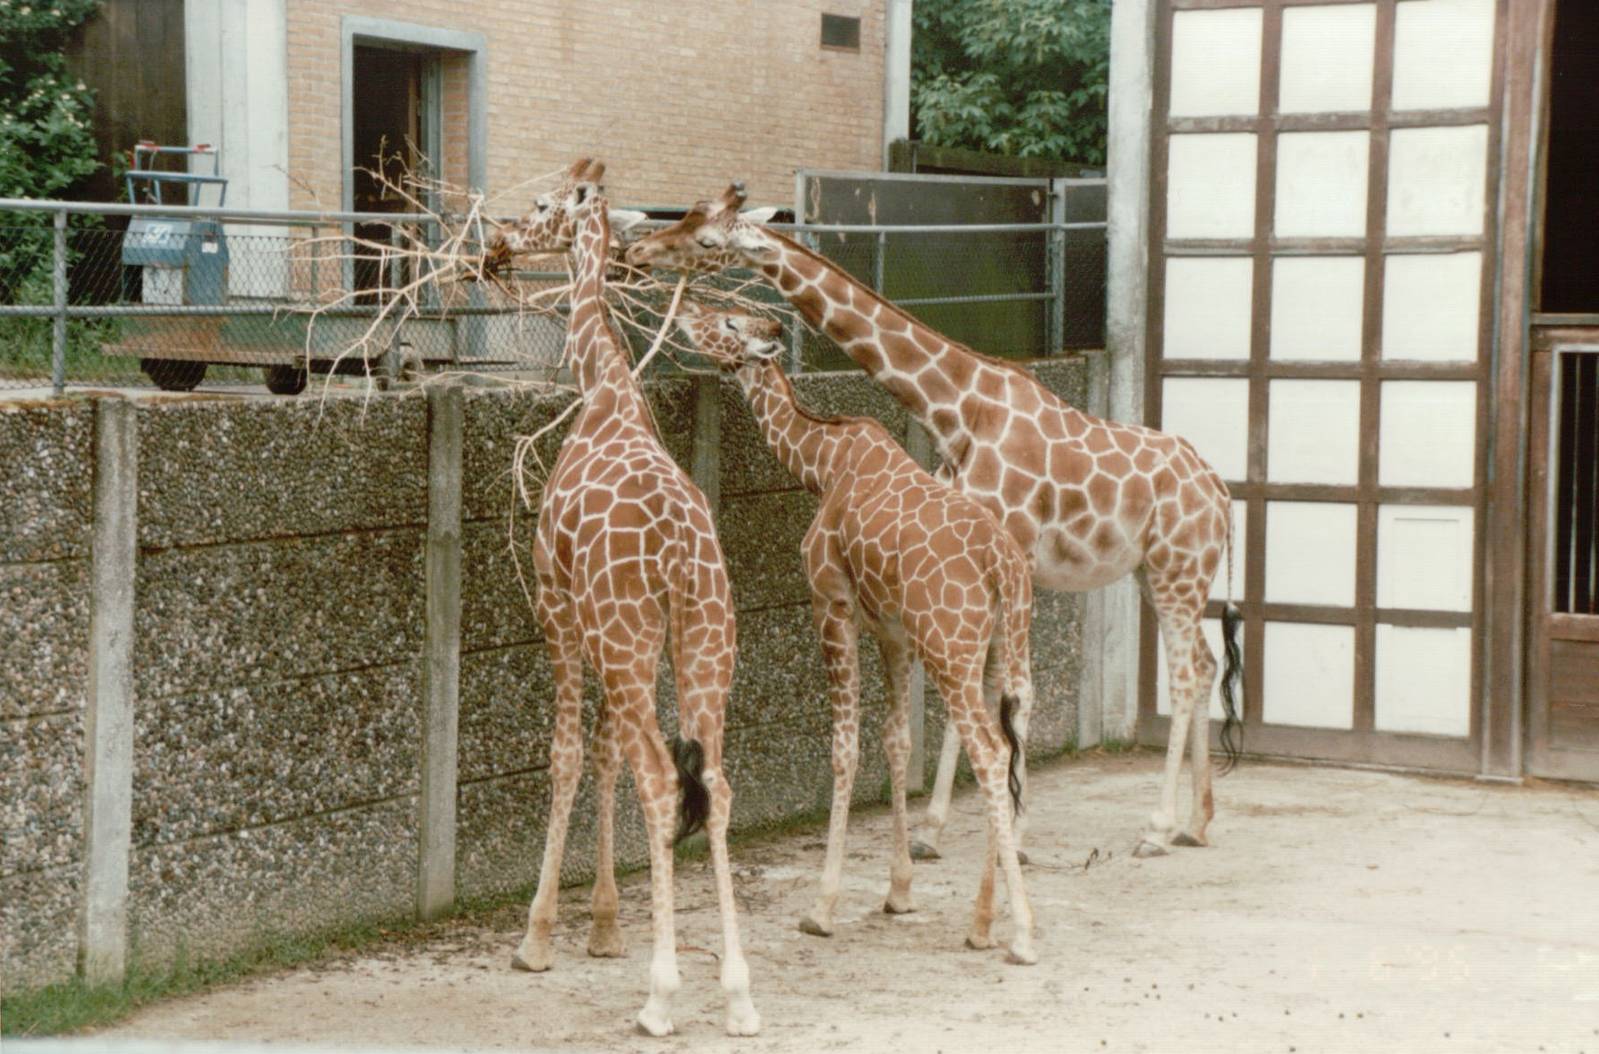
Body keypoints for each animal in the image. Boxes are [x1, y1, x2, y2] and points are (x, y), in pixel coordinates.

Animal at [493, 159, 759, 1037]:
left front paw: (539, 936)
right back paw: (738, 994)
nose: (500, 242)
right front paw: (606, 925)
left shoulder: (558, 607)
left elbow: (571, 754)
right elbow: (604, 752)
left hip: (629, 633)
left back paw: (661, 996)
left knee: (656, 775)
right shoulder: (606, 634)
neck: (605, 391)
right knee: (715, 783)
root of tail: (676, 553)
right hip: (706, 636)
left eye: (542, 203)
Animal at [627, 185, 1244, 860]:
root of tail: (1221, 493)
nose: (638, 249)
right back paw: (1198, 820)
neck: (956, 410)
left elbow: (998, 693)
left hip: (1177, 571)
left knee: (1183, 675)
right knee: (1205, 665)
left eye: (708, 239)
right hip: (1158, 575)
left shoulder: (1005, 558)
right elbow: (977, 693)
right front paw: (938, 827)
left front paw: (1001, 831)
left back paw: (1157, 828)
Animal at [673, 298, 1037, 964]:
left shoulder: (832, 603)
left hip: (950, 647)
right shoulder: (892, 631)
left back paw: (1020, 934)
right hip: (1005, 648)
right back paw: (980, 923)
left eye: (733, 323)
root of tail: (1003, 566)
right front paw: (898, 892)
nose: (687, 310)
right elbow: (896, 740)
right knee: (1011, 738)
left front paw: (822, 909)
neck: (821, 462)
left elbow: (844, 750)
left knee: (991, 752)